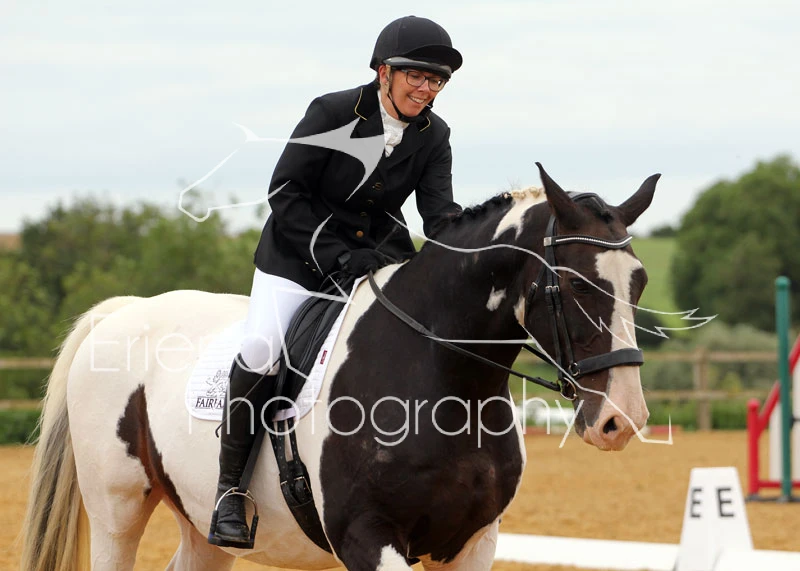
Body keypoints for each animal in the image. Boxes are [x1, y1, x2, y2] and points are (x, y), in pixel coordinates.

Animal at [20, 163, 658, 571]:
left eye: (640, 282)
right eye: (574, 284)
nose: (621, 419)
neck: (448, 381)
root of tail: (125, 311)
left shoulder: (472, 542)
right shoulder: (368, 538)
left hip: (198, 520)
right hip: (117, 510)